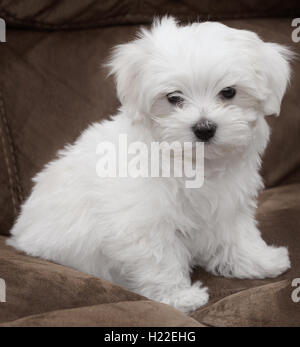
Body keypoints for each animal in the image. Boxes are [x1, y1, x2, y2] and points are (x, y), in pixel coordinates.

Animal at [8, 17, 292, 314]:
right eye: (174, 97)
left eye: (229, 92)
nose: (204, 128)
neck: (194, 163)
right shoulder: (143, 221)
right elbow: (159, 257)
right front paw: (178, 296)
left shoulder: (228, 204)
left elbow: (238, 235)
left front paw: (259, 261)